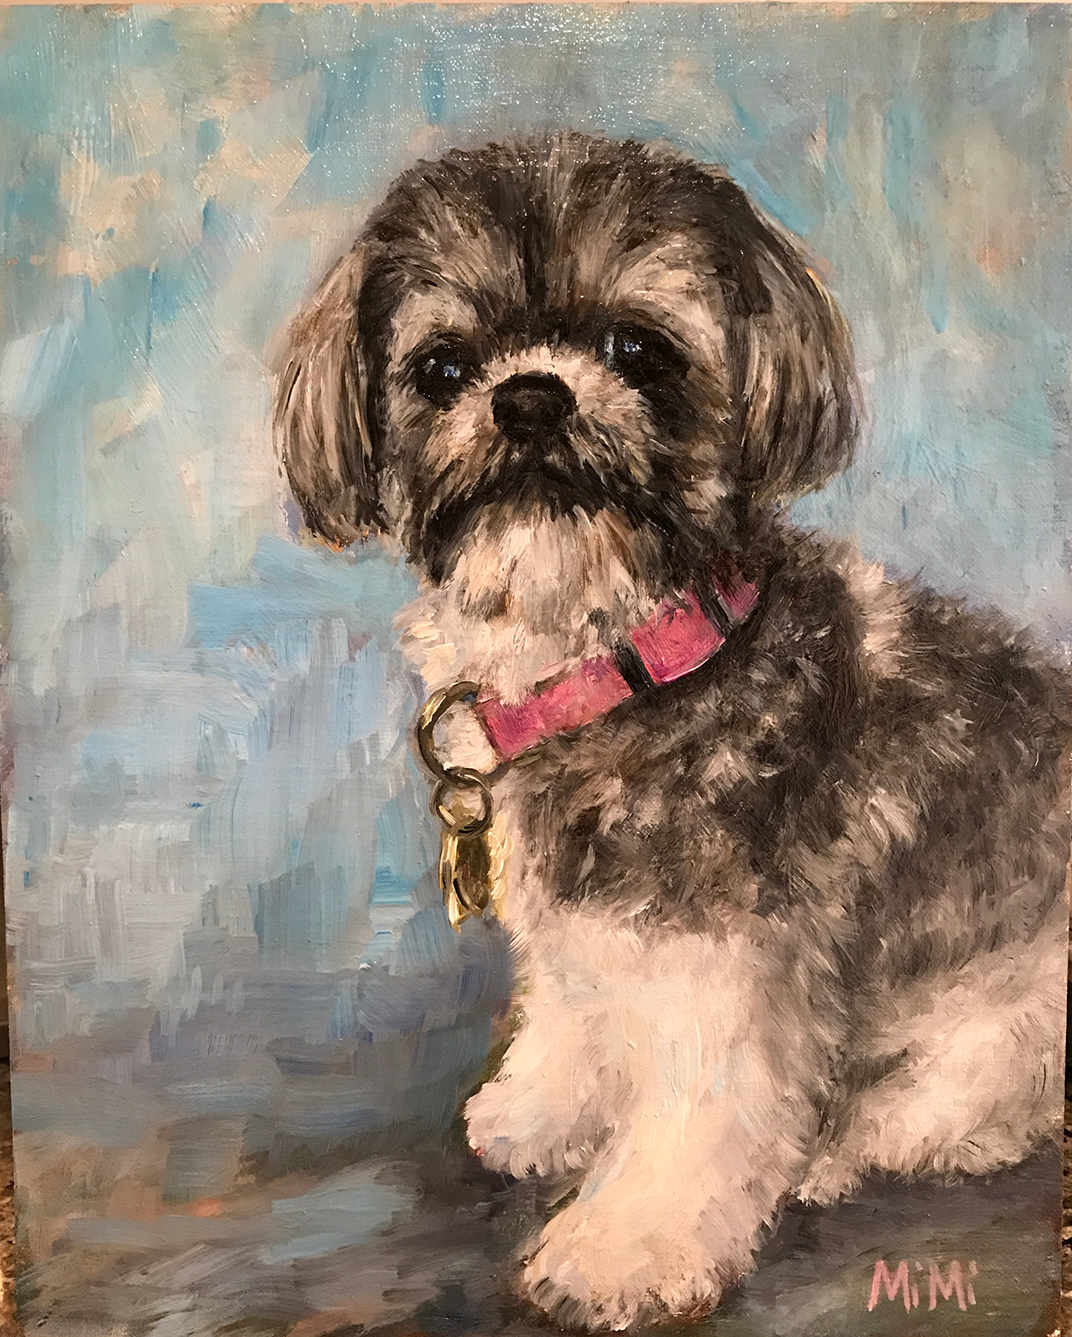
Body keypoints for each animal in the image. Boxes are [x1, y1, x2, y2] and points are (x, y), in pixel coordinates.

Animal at [274, 133, 1071, 1331]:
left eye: (636, 349)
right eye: (443, 368)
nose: (530, 397)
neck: (614, 661)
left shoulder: (726, 962)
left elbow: (697, 1113)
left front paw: (622, 1250)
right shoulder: (584, 930)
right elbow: (574, 1002)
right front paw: (544, 1106)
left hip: (1016, 1011)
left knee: (955, 1107)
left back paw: (843, 1144)